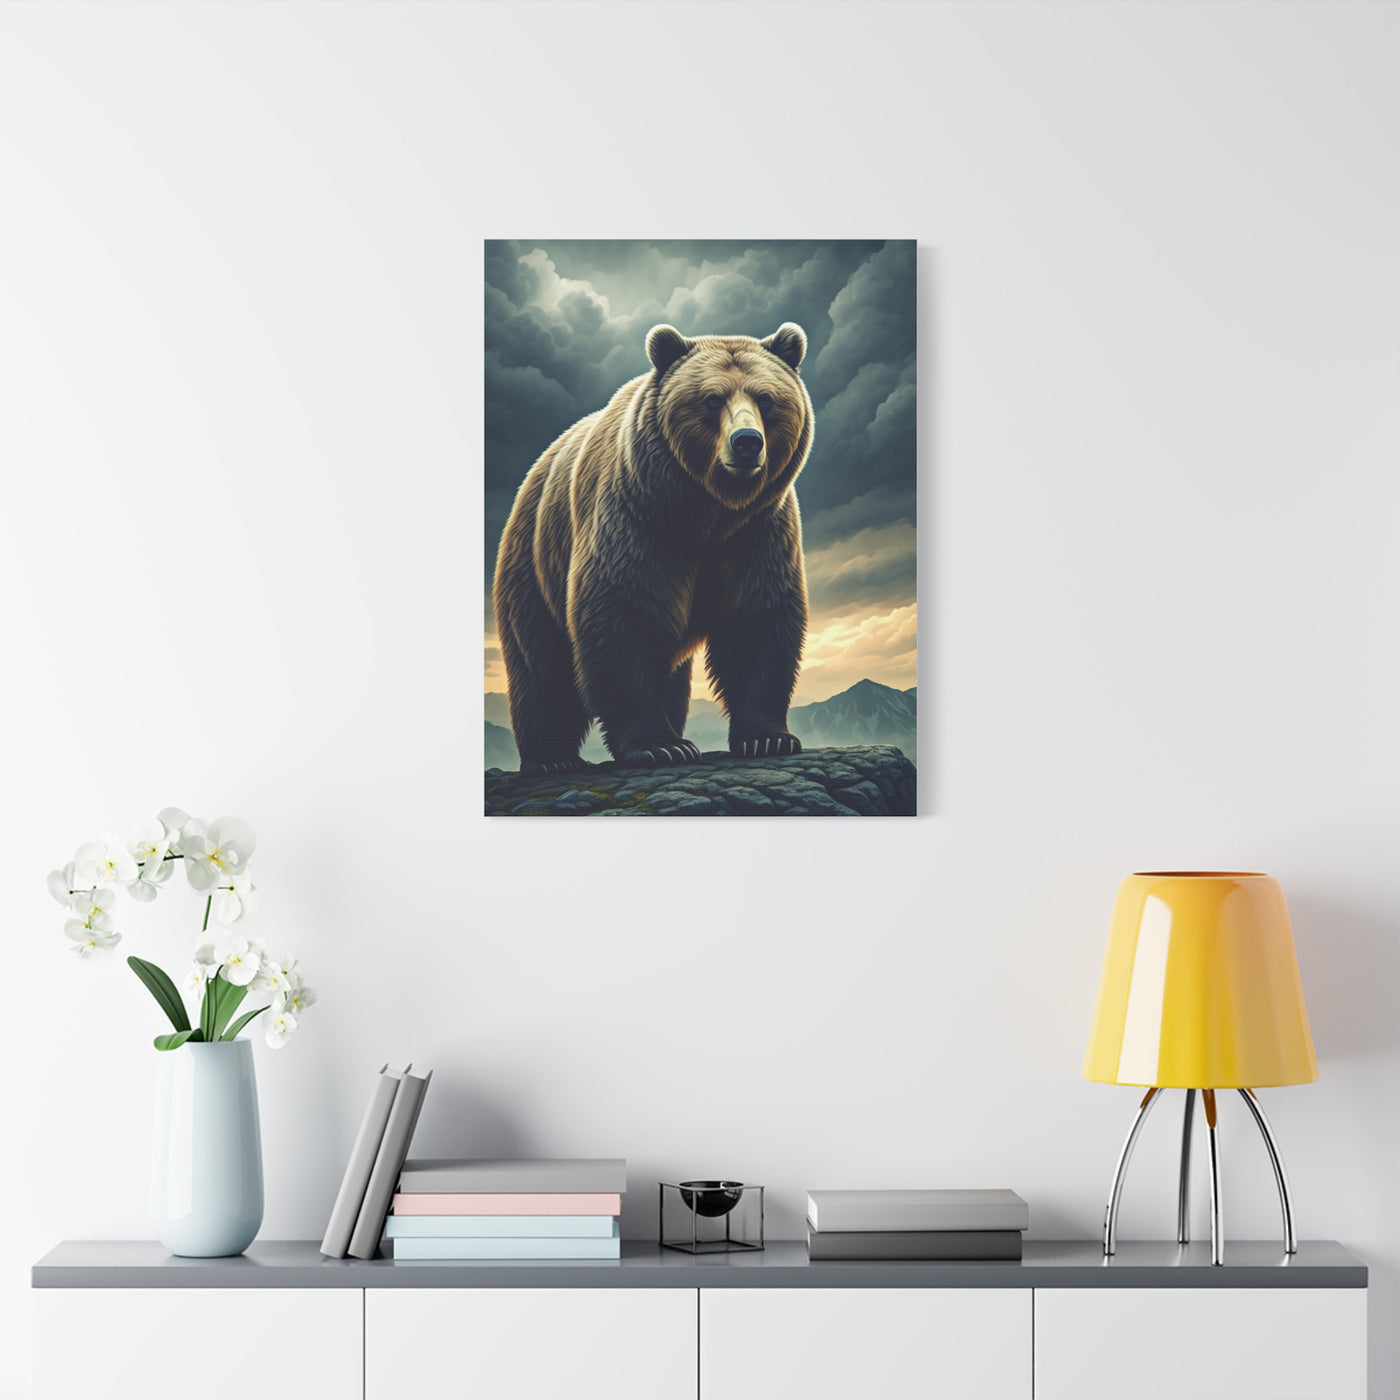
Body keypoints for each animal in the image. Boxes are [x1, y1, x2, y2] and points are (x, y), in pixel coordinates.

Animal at [493, 321, 814, 774]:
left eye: (766, 398)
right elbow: (624, 613)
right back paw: (551, 758)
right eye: (712, 399)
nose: (747, 442)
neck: (707, 512)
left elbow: (758, 616)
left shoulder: (758, 531)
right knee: (542, 664)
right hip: (534, 560)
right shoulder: (638, 521)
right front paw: (658, 746)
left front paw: (768, 738)